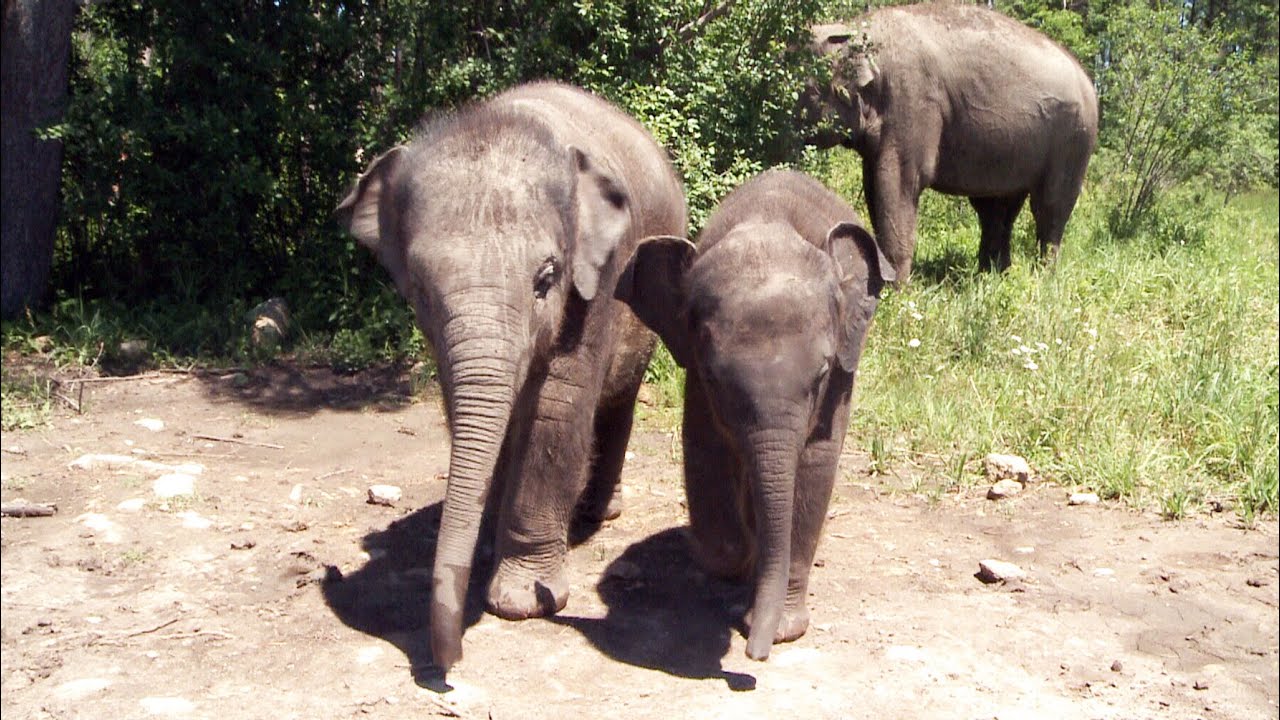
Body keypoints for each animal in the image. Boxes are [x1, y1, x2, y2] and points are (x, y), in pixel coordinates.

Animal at [335, 81, 687, 672]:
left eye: (547, 278)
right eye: (421, 289)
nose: (448, 665)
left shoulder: (598, 278)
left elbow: (556, 410)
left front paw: (524, 599)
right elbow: (468, 408)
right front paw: (484, 543)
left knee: (619, 399)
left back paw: (600, 511)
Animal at [615, 169, 894, 660]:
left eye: (823, 372)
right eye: (713, 376)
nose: (754, 652)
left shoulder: (841, 376)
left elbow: (815, 465)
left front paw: (783, 627)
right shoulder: (695, 369)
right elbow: (705, 449)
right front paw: (737, 561)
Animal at [801, 3, 1099, 281]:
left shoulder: (911, 101)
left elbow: (897, 184)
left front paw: (894, 290)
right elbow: (874, 186)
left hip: (1073, 139)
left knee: (1050, 207)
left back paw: (1041, 279)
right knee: (996, 209)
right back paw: (992, 277)